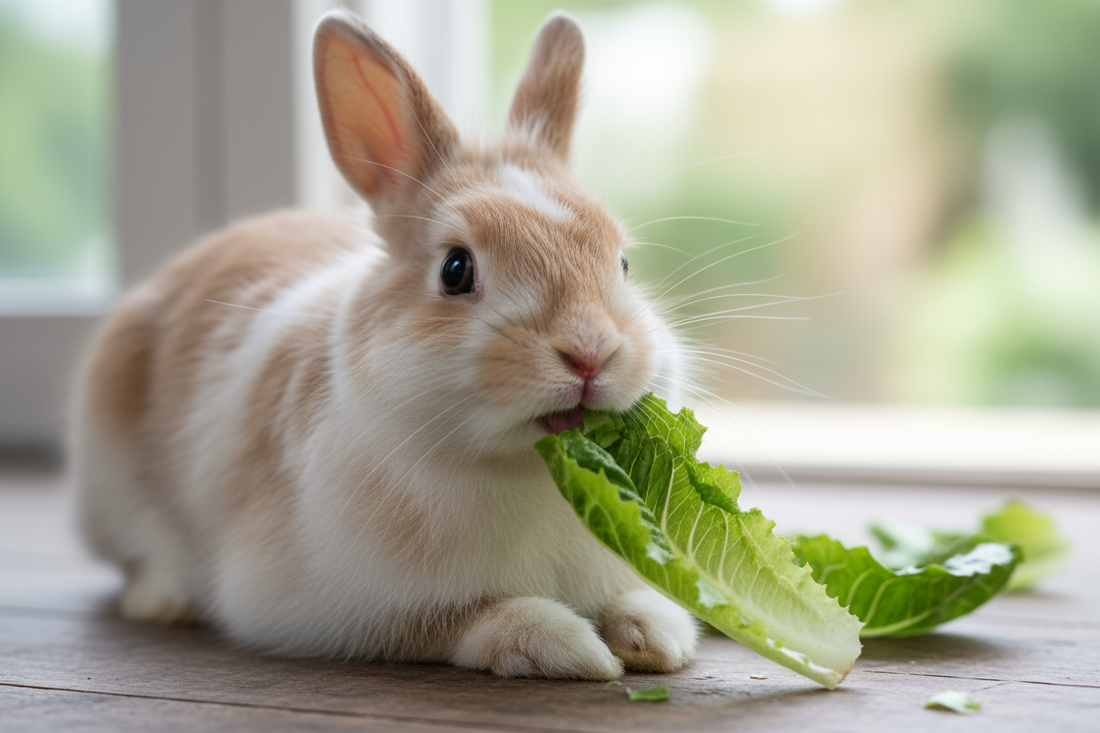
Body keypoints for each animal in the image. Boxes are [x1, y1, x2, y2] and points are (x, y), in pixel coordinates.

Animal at [70, 9, 698, 680]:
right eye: (455, 270)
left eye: (623, 263)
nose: (590, 353)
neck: (522, 467)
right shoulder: (329, 608)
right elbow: (461, 620)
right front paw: (570, 648)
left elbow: (634, 600)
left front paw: (658, 634)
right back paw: (164, 599)